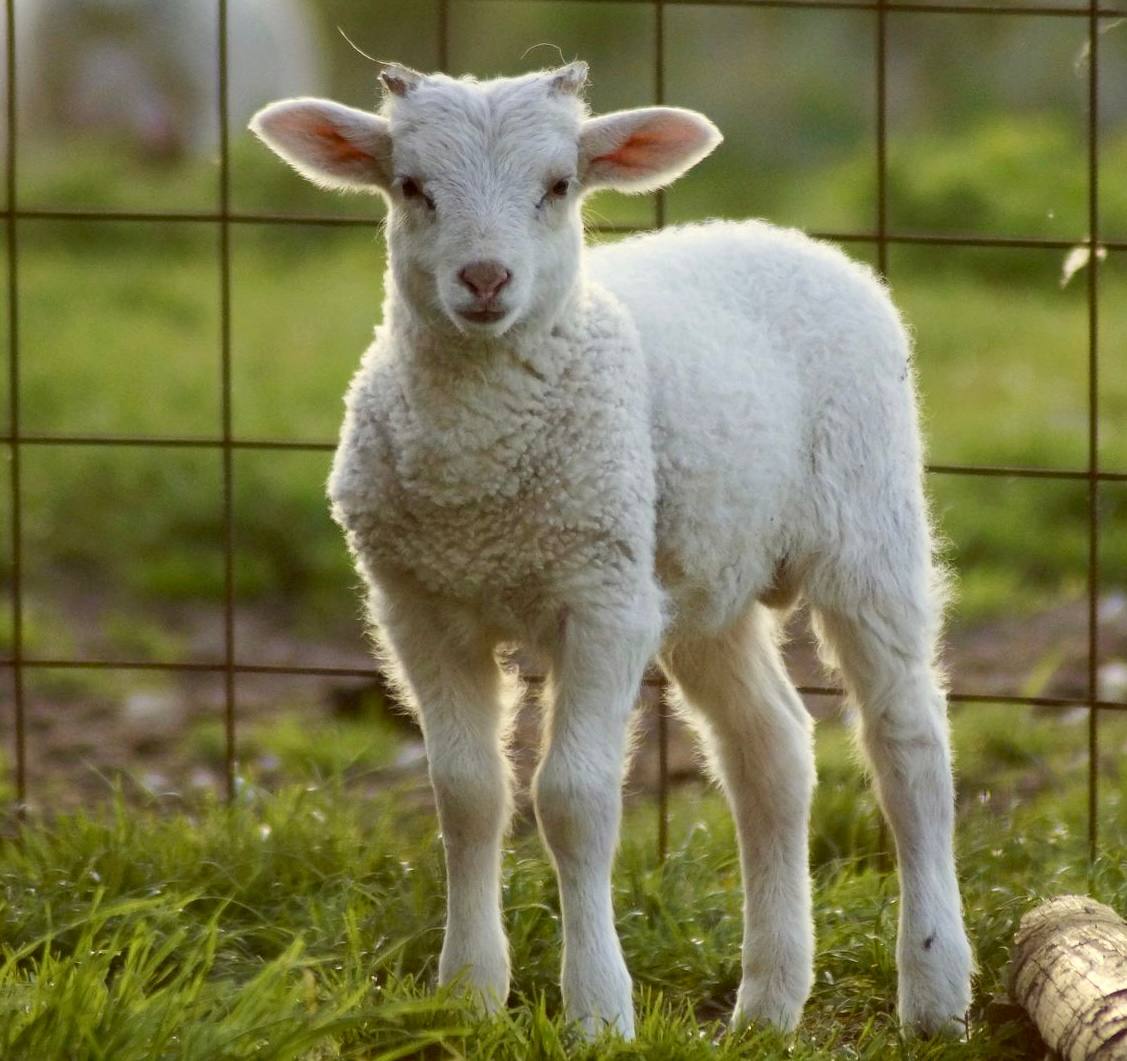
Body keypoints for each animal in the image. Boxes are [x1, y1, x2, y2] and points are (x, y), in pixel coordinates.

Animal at [249, 61, 974, 1041]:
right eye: (410, 186)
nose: (485, 277)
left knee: (908, 739)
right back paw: (768, 1001)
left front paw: (596, 1009)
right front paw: (467, 994)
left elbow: (573, 800)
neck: (480, 477)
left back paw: (933, 988)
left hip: (866, 520)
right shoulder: (419, 604)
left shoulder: (598, 599)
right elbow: (466, 793)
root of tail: (779, 234)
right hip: (700, 578)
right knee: (771, 750)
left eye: (558, 186)